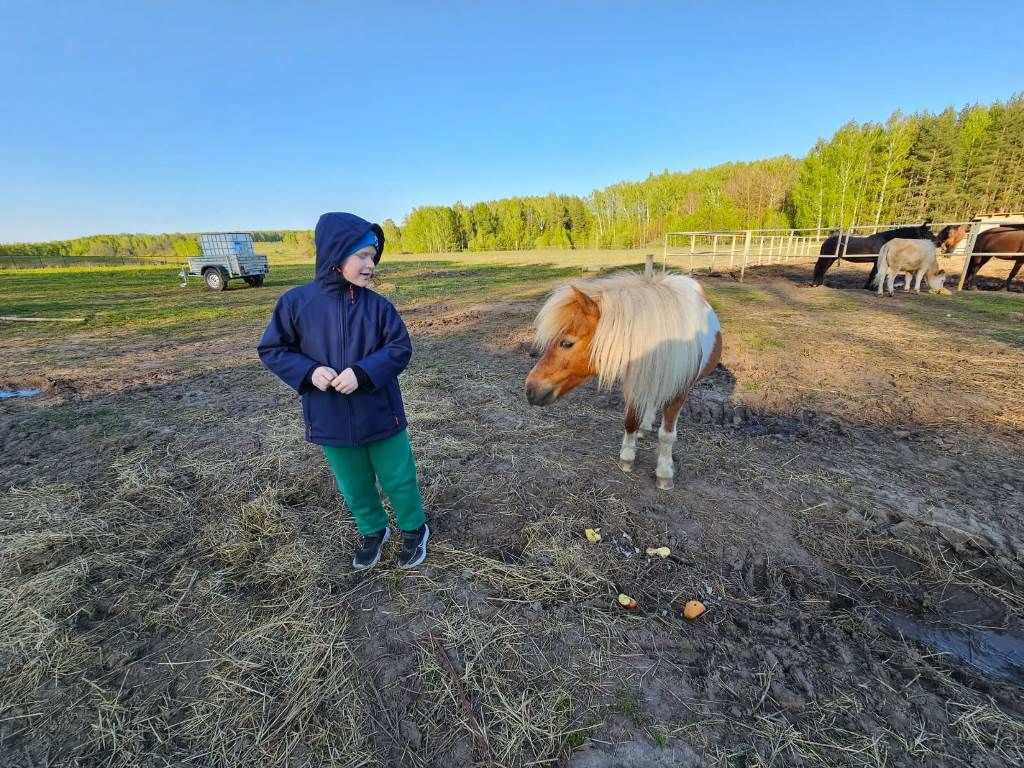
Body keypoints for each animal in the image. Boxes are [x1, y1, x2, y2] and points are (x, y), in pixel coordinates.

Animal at [524, 274, 724, 489]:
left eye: (566, 343)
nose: (530, 388)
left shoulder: (679, 392)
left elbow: (667, 435)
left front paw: (664, 473)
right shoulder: (634, 383)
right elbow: (630, 421)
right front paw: (627, 457)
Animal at [806, 222, 937, 288]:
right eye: (928, 233)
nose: (938, 242)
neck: (885, 240)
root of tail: (827, 240)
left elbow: (873, 274)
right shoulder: (877, 261)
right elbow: (873, 274)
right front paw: (869, 287)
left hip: (831, 259)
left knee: (823, 269)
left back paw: (819, 283)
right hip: (827, 257)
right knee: (820, 268)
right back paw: (815, 284)